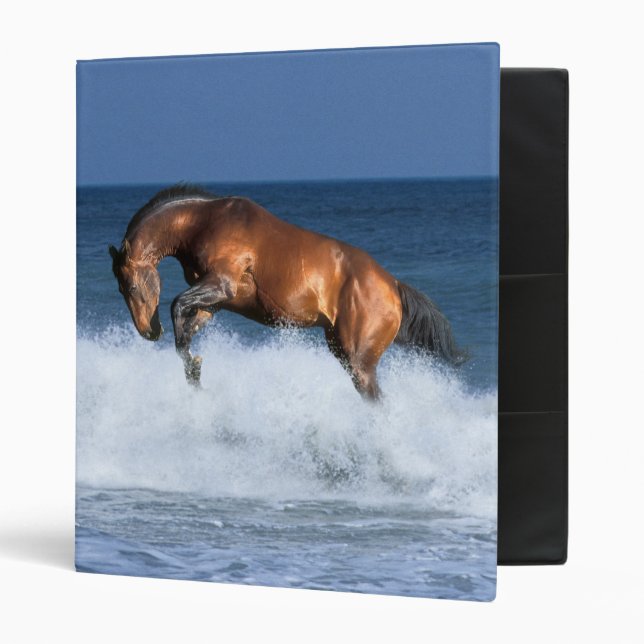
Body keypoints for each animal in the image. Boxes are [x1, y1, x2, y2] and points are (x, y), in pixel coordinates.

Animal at [109, 184, 464, 399]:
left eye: (130, 285)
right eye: (119, 288)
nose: (147, 331)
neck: (204, 222)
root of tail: (392, 285)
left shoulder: (219, 284)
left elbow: (175, 305)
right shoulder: (216, 301)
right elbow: (185, 326)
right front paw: (193, 371)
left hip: (359, 361)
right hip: (341, 349)